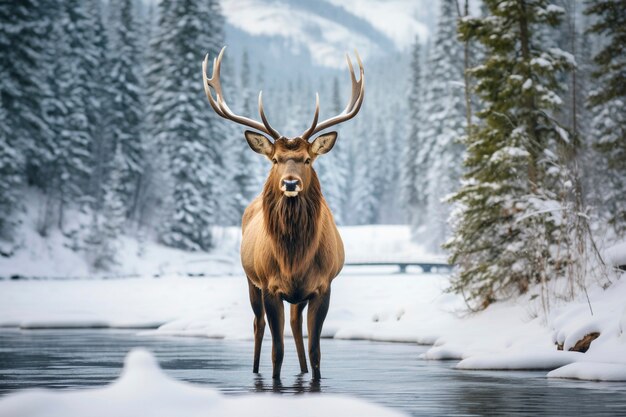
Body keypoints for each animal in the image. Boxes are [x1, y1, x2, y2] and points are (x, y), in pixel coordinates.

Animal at [202, 47, 364, 378]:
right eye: (275, 159)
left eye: (307, 159)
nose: (290, 182)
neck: (294, 259)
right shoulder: (269, 286)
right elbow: (276, 350)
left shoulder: (323, 286)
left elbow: (316, 351)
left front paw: (314, 376)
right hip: (250, 280)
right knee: (258, 324)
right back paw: (254, 370)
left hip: (297, 297)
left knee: (295, 324)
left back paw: (300, 370)